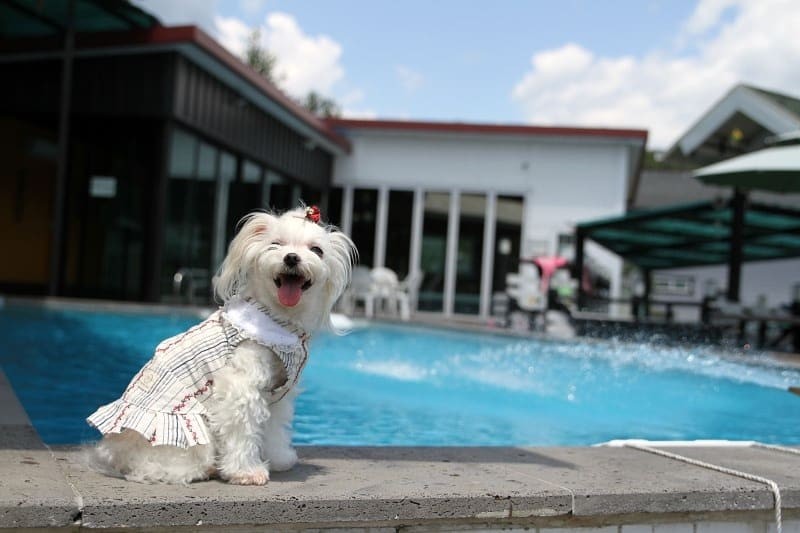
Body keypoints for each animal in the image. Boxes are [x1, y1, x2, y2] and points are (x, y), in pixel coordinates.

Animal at [86, 206, 357, 484]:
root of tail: (111, 451)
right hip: (185, 430)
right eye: (275, 244)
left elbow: (274, 427)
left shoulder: (276, 392)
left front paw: (279, 458)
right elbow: (243, 428)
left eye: (317, 250)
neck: (279, 317)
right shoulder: (242, 386)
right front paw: (247, 471)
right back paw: (201, 468)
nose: (291, 258)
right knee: (154, 467)